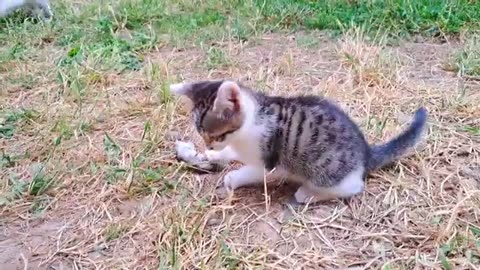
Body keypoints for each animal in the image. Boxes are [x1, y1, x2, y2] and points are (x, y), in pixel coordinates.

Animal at [169, 80, 428, 205]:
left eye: (216, 135)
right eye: (202, 134)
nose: (209, 145)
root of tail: (365, 152)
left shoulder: (271, 161)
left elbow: (253, 171)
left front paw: (233, 178)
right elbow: (234, 153)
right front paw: (215, 156)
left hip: (326, 170)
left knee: (353, 187)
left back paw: (308, 194)